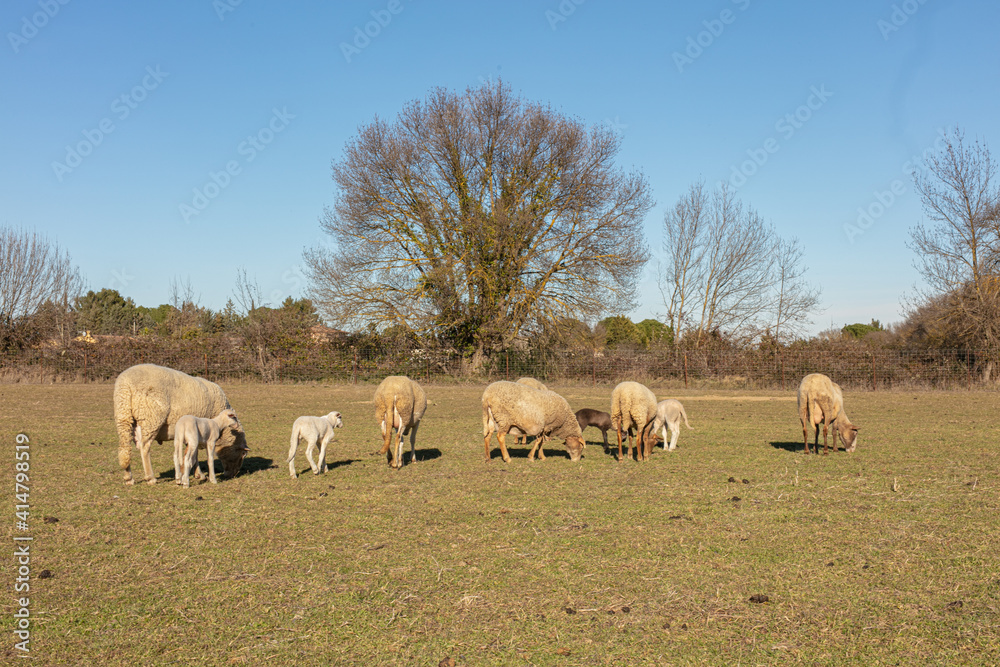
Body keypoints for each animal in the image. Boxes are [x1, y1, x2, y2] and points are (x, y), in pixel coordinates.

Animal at [114, 366, 250, 486]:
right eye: (243, 454)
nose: (232, 475)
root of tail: (125, 384)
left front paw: (192, 473)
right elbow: (194, 455)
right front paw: (199, 475)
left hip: (123, 416)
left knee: (124, 449)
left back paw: (128, 478)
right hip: (151, 418)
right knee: (144, 447)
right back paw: (150, 478)